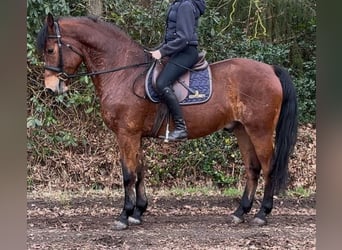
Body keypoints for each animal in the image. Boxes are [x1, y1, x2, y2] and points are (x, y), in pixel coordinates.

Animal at [37, 12, 296, 229]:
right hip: (242, 130)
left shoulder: (126, 134)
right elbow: (139, 170)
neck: (123, 72)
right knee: (252, 168)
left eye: (50, 50)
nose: (50, 88)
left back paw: (262, 214)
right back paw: (240, 212)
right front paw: (138, 212)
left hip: (260, 130)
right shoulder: (135, 135)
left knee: (268, 167)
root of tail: (270, 69)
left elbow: (128, 174)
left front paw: (124, 215)